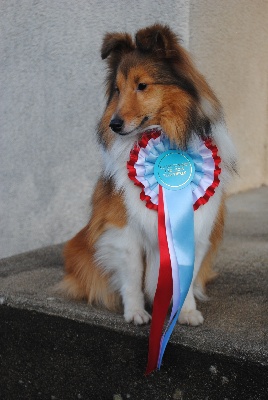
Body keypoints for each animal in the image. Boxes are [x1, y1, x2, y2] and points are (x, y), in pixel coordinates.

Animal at [61, 23, 237, 326]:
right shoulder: (123, 228)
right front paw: (135, 312)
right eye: (117, 89)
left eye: (142, 85)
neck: (167, 135)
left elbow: (187, 278)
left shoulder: (197, 228)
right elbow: (132, 275)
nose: (114, 124)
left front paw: (185, 312)